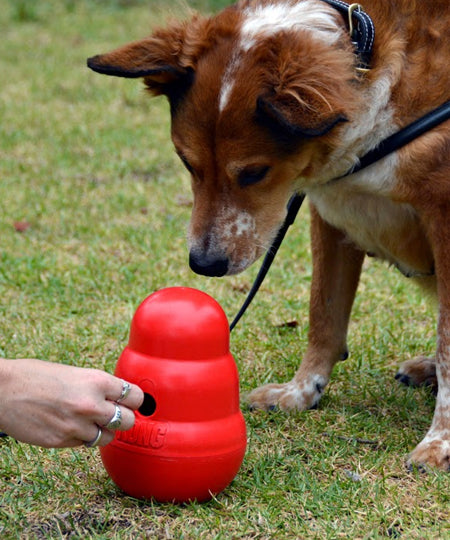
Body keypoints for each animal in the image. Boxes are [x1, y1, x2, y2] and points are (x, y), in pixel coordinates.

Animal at [87, 1, 450, 468]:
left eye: (254, 173)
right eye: (186, 162)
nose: (203, 264)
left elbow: (448, 346)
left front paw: (441, 441)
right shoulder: (332, 212)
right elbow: (324, 314)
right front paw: (302, 391)